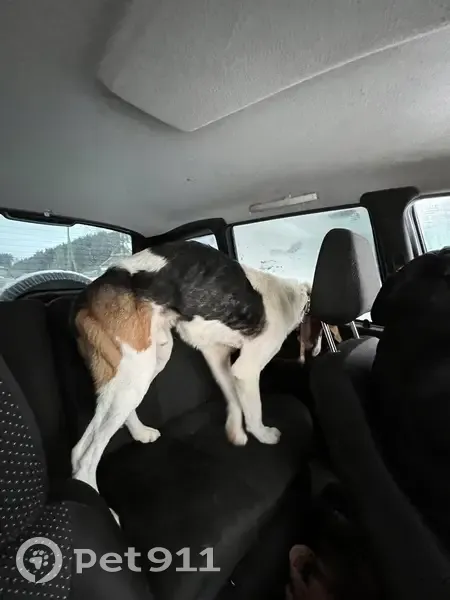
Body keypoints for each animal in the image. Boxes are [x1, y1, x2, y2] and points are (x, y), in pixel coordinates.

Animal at [71, 240, 311, 491]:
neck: (290, 296)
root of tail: (85, 296)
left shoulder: (217, 356)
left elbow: (233, 399)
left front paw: (235, 432)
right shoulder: (246, 370)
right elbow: (254, 412)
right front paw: (264, 435)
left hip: (143, 365)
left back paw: (140, 433)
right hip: (136, 371)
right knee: (85, 455)